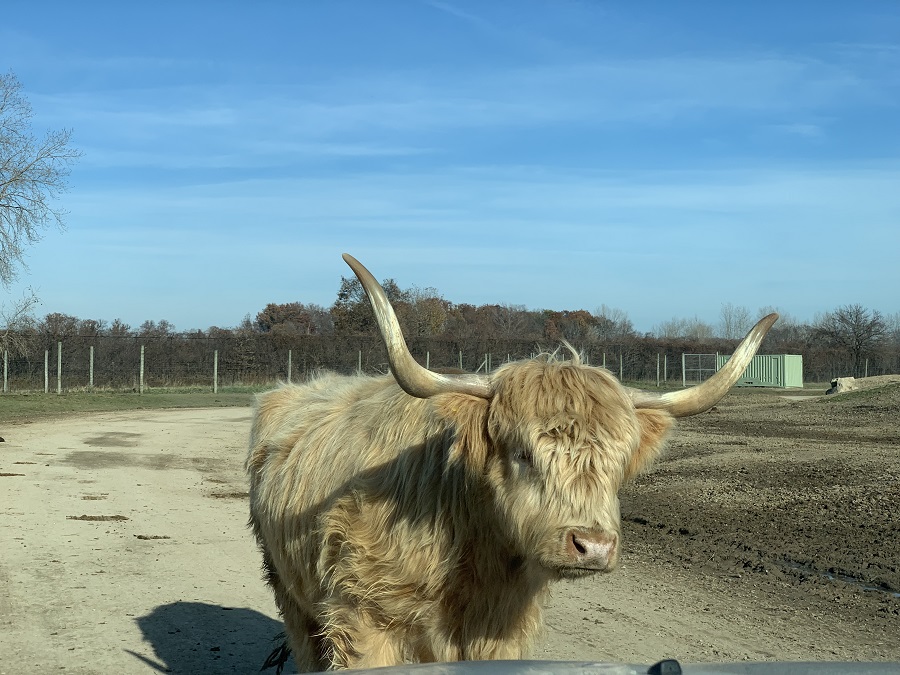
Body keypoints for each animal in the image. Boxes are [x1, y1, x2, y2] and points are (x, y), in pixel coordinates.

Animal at [247, 253, 777, 672]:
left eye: (619, 462)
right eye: (522, 453)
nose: (593, 546)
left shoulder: (499, 632)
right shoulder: (364, 620)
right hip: (290, 591)